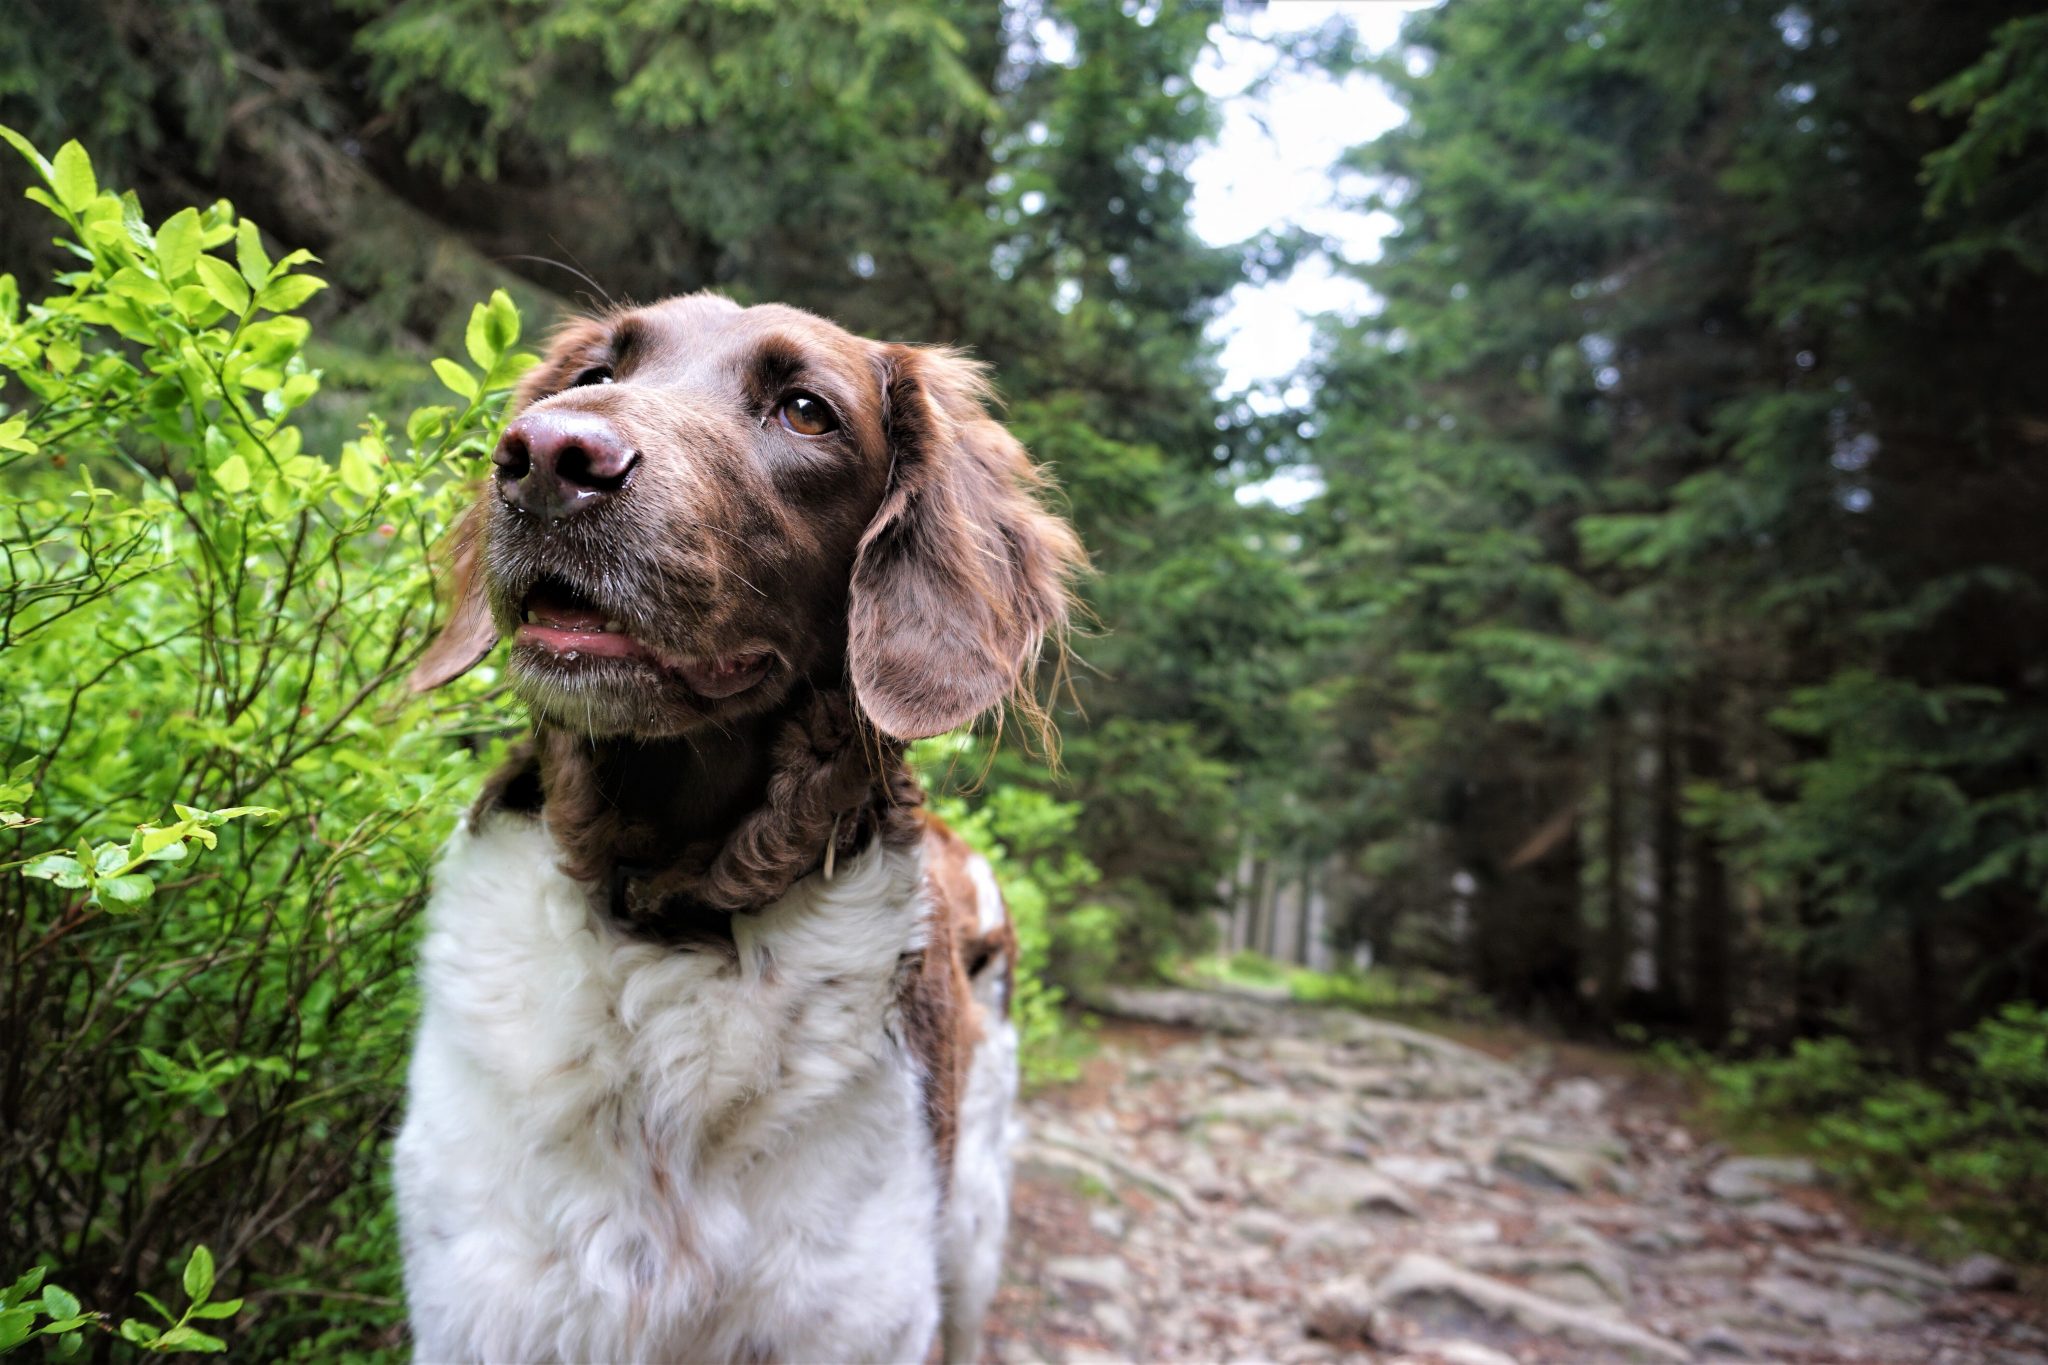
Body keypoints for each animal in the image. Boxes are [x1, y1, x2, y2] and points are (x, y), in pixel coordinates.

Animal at [389, 294, 1081, 1358]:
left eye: (805, 411)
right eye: (595, 376)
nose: (545, 457)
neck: (671, 923)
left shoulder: (856, 1314)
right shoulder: (483, 1303)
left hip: (971, 1223)